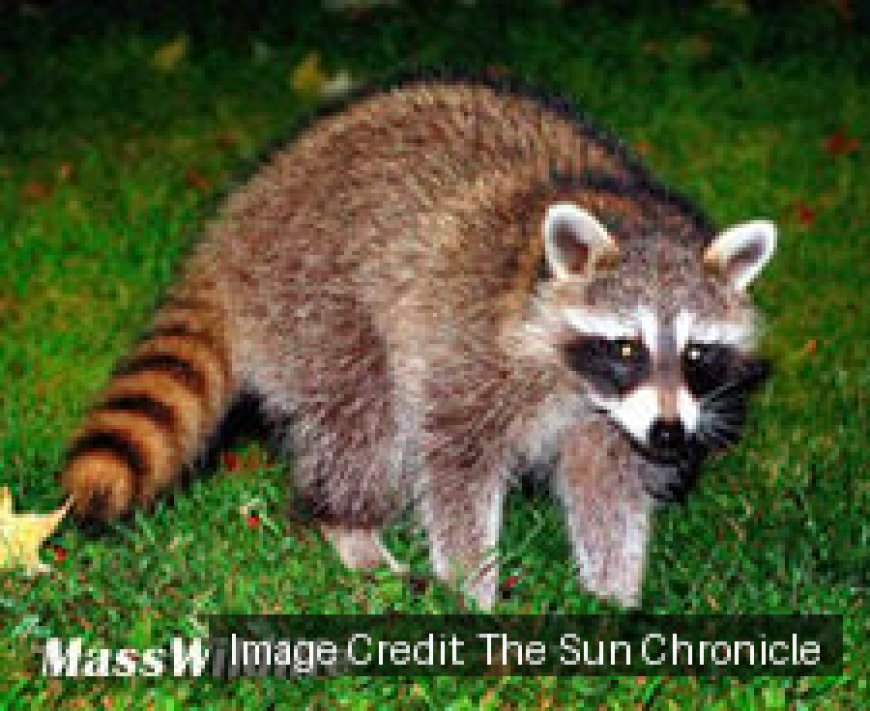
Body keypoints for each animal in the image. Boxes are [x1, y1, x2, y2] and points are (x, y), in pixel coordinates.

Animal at [60, 77, 775, 608]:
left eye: (698, 355)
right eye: (627, 347)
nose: (670, 435)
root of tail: (235, 227)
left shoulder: (617, 417)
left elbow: (609, 483)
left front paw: (612, 595)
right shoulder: (471, 345)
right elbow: (456, 464)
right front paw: (473, 588)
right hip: (317, 297)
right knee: (362, 421)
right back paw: (350, 526)